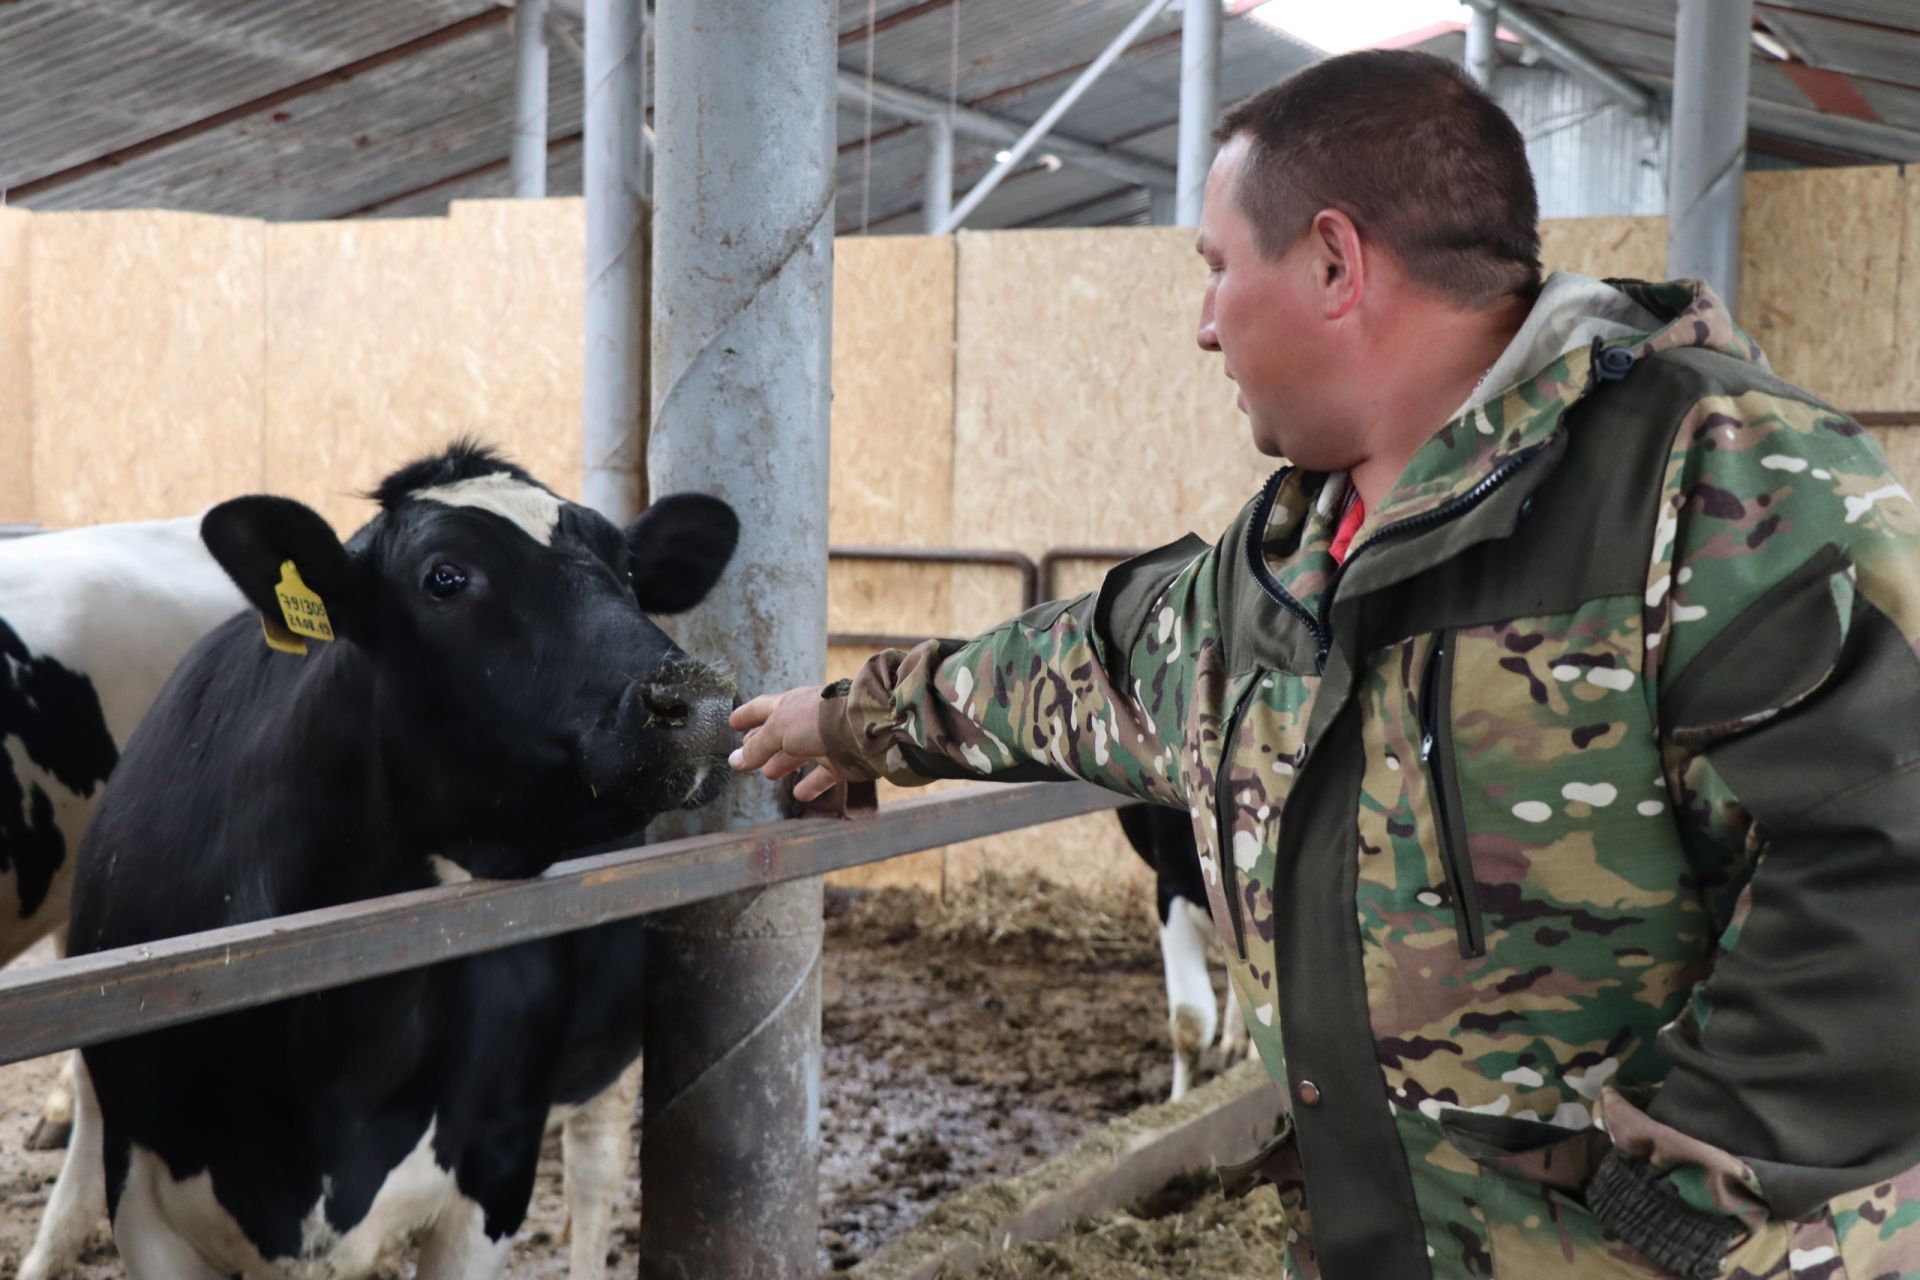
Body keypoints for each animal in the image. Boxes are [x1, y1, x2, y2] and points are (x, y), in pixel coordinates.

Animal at [26, 443, 737, 1280]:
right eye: (446, 577)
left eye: (627, 567)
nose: (700, 704)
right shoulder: (142, 1198)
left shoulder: (494, 1174)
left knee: (595, 1166)